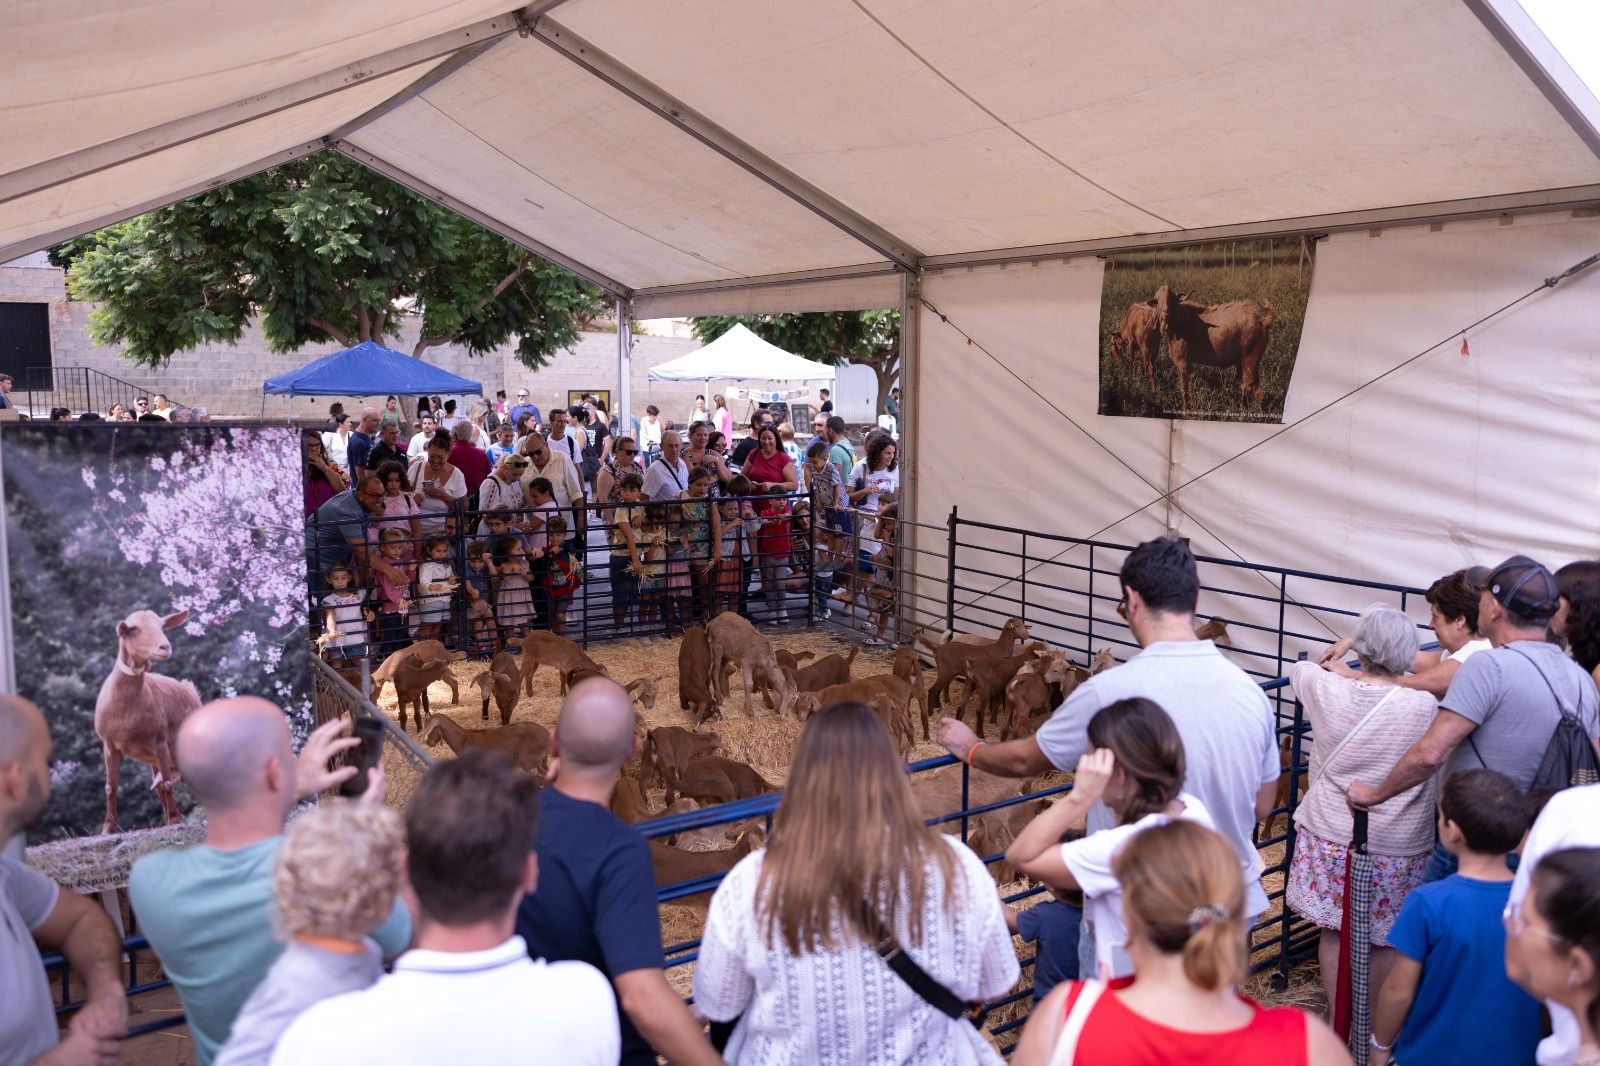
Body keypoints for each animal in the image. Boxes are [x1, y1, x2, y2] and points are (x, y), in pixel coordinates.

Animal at [95, 605, 201, 832]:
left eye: (162, 625)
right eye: (133, 629)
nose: (165, 647)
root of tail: (190, 690)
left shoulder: (159, 739)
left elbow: (168, 783)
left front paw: (176, 821)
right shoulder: (109, 743)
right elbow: (110, 787)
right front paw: (108, 828)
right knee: (161, 783)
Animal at [1152, 281, 1273, 409]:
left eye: (1171, 298)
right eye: (1157, 300)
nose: (1165, 313)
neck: (1179, 321)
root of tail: (1264, 322)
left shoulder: (1183, 362)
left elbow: (1184, 389)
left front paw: (1185, 410)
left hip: (1250, 359)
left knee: (1249, 387)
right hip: (1245, 363)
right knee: (1254, 388)